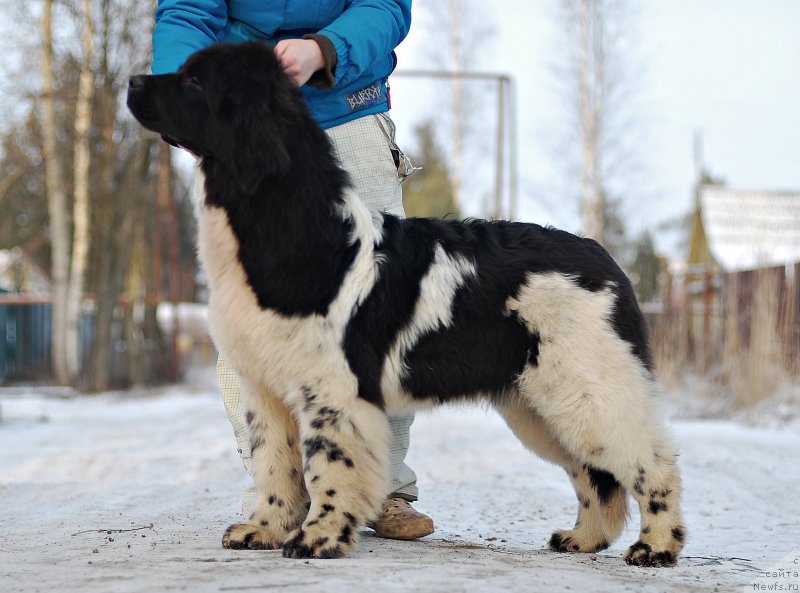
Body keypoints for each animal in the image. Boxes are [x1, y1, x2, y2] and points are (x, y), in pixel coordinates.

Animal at [128, 41, 684, 564]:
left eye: (194, 80)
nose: (132, 81)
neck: (298, 230)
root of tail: (604, 258)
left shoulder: (334, 390)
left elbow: (327, 467)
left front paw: (319, 539)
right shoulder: (266, 389)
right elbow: (274, 465)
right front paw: (264, 529)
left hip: (588, 389)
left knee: (651, 462)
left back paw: (656, 547)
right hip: (539, 403)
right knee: (592, 473)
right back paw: (583, 539)